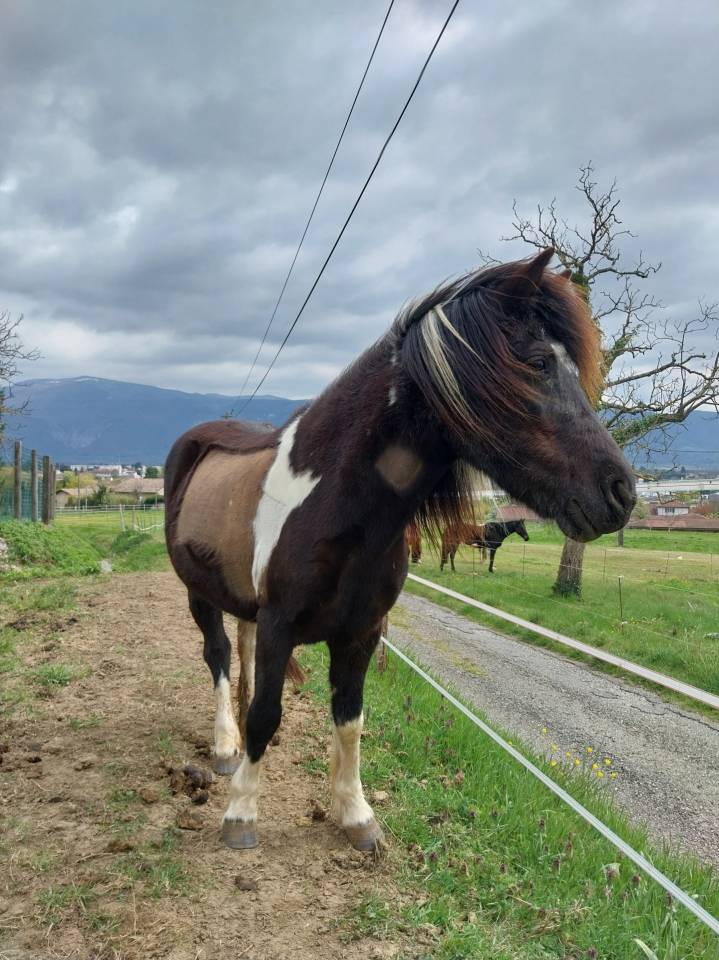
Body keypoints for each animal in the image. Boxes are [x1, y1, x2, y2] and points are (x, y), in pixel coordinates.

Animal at [164, 248, 635, 853]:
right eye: (538, 363)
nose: (621, 493)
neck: (331, 504)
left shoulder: (360, 633)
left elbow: (350, 720)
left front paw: (355, 815)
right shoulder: (279, 625)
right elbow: (267, 714)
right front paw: (242, 813)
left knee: (239, 653)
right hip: (198, 593)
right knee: (220, 656)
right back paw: (226, 746)